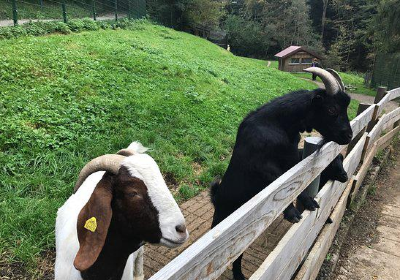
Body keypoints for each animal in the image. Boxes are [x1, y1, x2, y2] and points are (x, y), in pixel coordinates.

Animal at [211, 68, 352, 280]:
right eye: (332, 109)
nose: (348, 136)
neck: (279, 124)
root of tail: (217, 196)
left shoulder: (292, 159)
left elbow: (296, 180)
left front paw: (309, 202)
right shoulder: (261, 166)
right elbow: (280, 184)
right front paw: (292, 213)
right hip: (227, 228)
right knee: (234, 256)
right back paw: (239, 275)